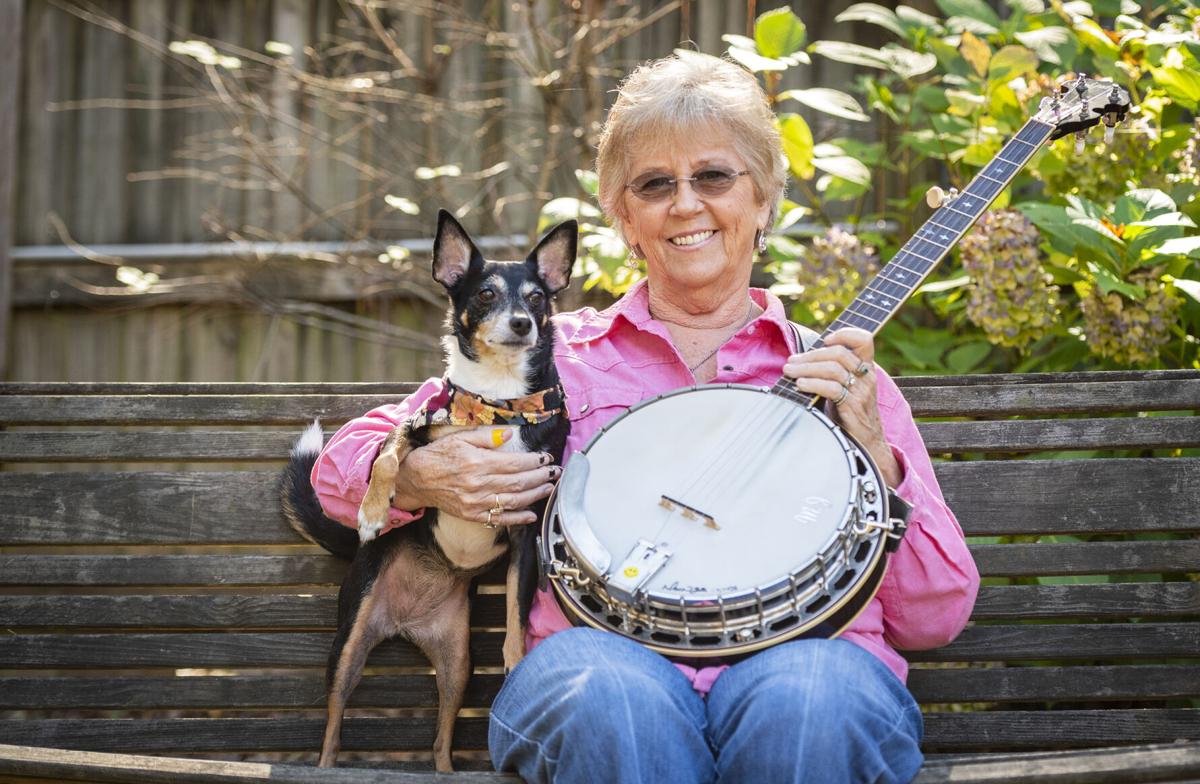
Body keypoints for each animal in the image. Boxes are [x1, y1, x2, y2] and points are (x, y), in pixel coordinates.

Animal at [283, 211, 578, 773]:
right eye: (485, 294)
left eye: (537, 298)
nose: (522, 323)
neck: (499, 404)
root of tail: (406, 623)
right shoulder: (417, 424)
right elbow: (388, 455)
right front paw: (374, 511)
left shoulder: (526, 533)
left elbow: (515, 617)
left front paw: (515, 662)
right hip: (347, 647)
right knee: (333, 724)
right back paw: (327, 764)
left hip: (458, 664)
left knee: (441, 739)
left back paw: (445, 770)